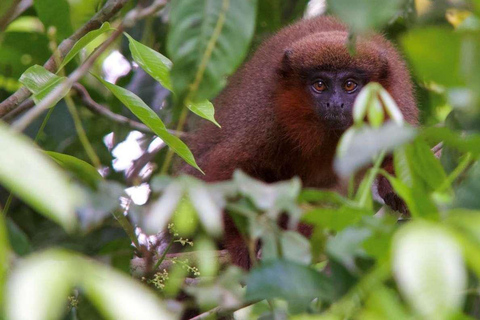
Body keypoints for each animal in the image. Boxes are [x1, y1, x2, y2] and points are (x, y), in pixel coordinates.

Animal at [179, 16, 416, 268]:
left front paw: (394, 189)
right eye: (320, 85)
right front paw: (242, 242)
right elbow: (220, 172)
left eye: (350, 85)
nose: (335, 104)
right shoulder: (265, 115)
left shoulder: (396, 103)